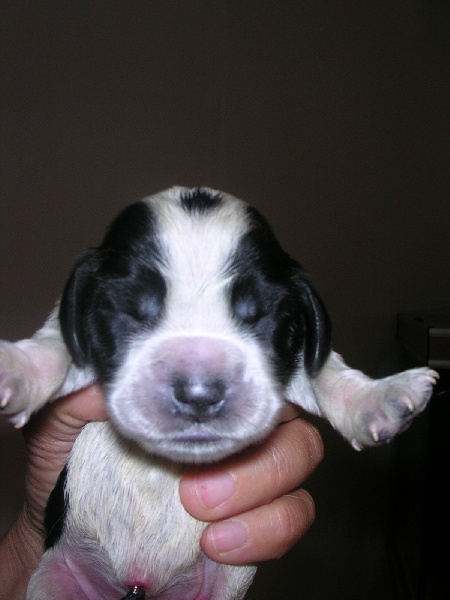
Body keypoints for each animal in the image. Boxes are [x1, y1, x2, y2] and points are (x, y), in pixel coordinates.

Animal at [0, 186, 438, 599]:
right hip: (52, 579)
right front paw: (16, 368)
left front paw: (380, 398)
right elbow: (54, 344)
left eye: (259, 316)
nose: (199, 394)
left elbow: (324, 370)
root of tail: (140, 585)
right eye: (131, 310)